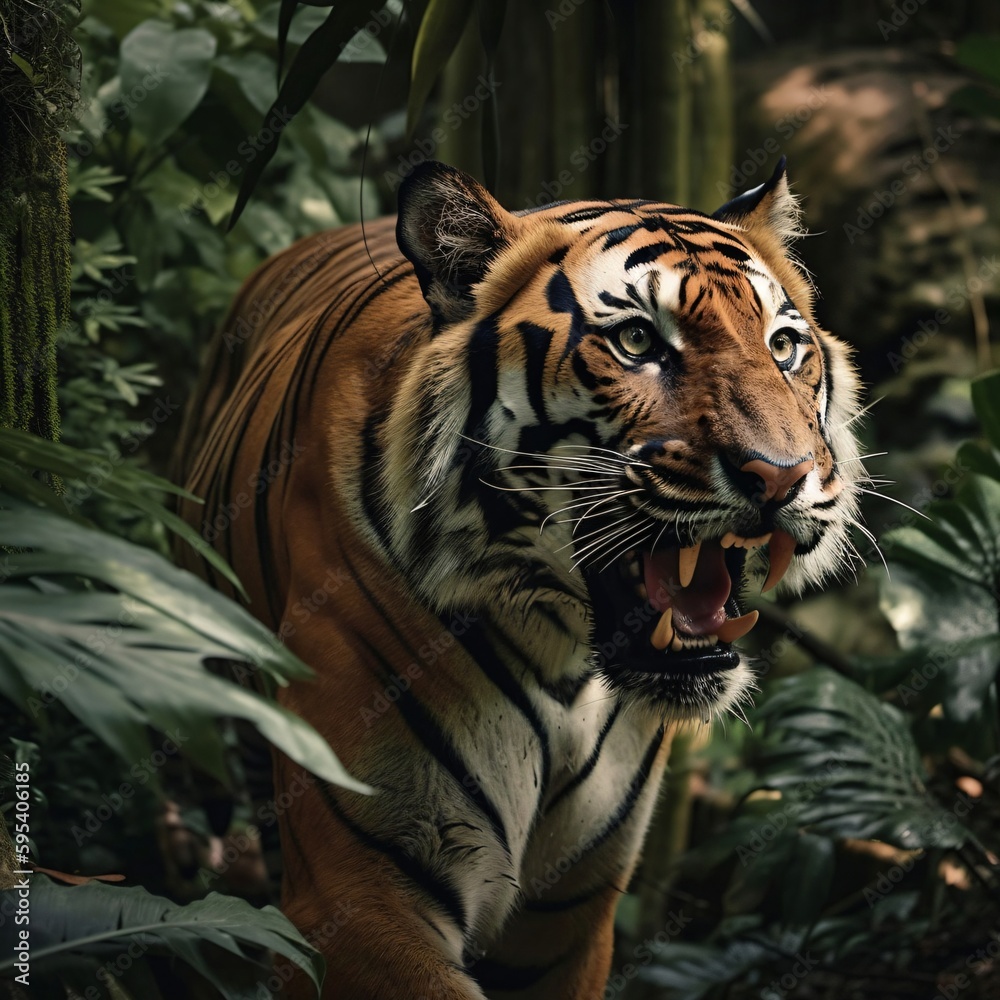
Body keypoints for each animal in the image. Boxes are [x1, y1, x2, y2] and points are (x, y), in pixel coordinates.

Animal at [173, 158, 863, 999]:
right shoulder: (360, 893)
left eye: (784, 345)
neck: (563, 652)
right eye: (636, 340)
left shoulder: (569, 916)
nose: (782, 475)